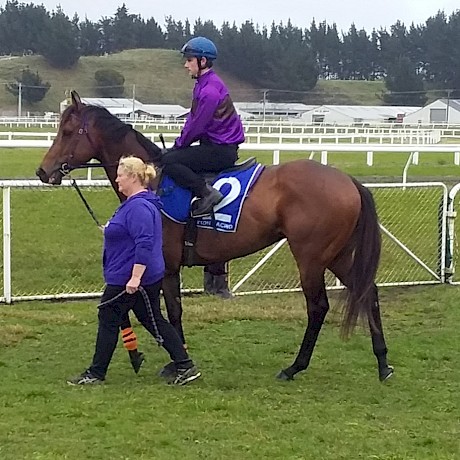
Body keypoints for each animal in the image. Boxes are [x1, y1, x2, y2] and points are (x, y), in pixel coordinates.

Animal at [36, 91, 396, 382]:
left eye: (67, 131)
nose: (43, 171)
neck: (154, 181)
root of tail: (348, 181)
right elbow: (160, 310)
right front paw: (173, 359)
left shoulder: (164, 266)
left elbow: (168, 311)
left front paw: (177, 361)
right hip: (336, 255)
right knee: (368, 292)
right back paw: (382, 363)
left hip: (310, 257)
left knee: (318, 307)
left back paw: (295, 366)